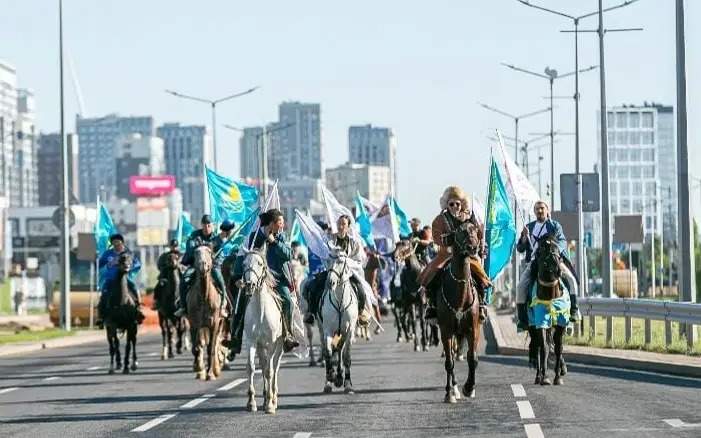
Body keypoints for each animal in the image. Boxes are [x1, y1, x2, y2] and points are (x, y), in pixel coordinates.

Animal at [187, 246, 223, 380]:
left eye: (209, 252)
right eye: (195, 253)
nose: (203, 265)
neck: (204, 297)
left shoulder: (214, 324)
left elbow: (211, 348)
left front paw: (210, 374)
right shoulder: (194, 324)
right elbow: (196, 347)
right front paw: (199, 369)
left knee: (215, 343)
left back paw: (216, 368)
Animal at [241, 246, 284, 414]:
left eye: (260, 263)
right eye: (244, 263)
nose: (249, 284)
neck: (260, 311)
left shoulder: (272, 343)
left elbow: (269, 371)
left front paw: (270, 405)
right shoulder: (252, 342)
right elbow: (251, 368)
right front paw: (251, 402)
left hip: (279, 346)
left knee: (274, 367)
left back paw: (273, 399)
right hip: (261, 347)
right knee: (264, 364)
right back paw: (265, 398)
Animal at [320, 252, 358, 396]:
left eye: (341, 261)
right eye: (328, 260)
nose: (330, 282)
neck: (340, 303)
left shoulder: (350, 331)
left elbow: (346, 356)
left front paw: (347, 384)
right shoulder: (328, 330)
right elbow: (328, 352)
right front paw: (331, 376)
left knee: (340, 349)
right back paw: (330, 381)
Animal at [432, 222, 482, 404]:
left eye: (475, 230)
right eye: (460, 232)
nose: (473, 247)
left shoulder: (473, 329)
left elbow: (472, 358)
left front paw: (469, 387)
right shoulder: (446, 331)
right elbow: (449, 362)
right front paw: (449, 393)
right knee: (451, 357)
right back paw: (453, 389)